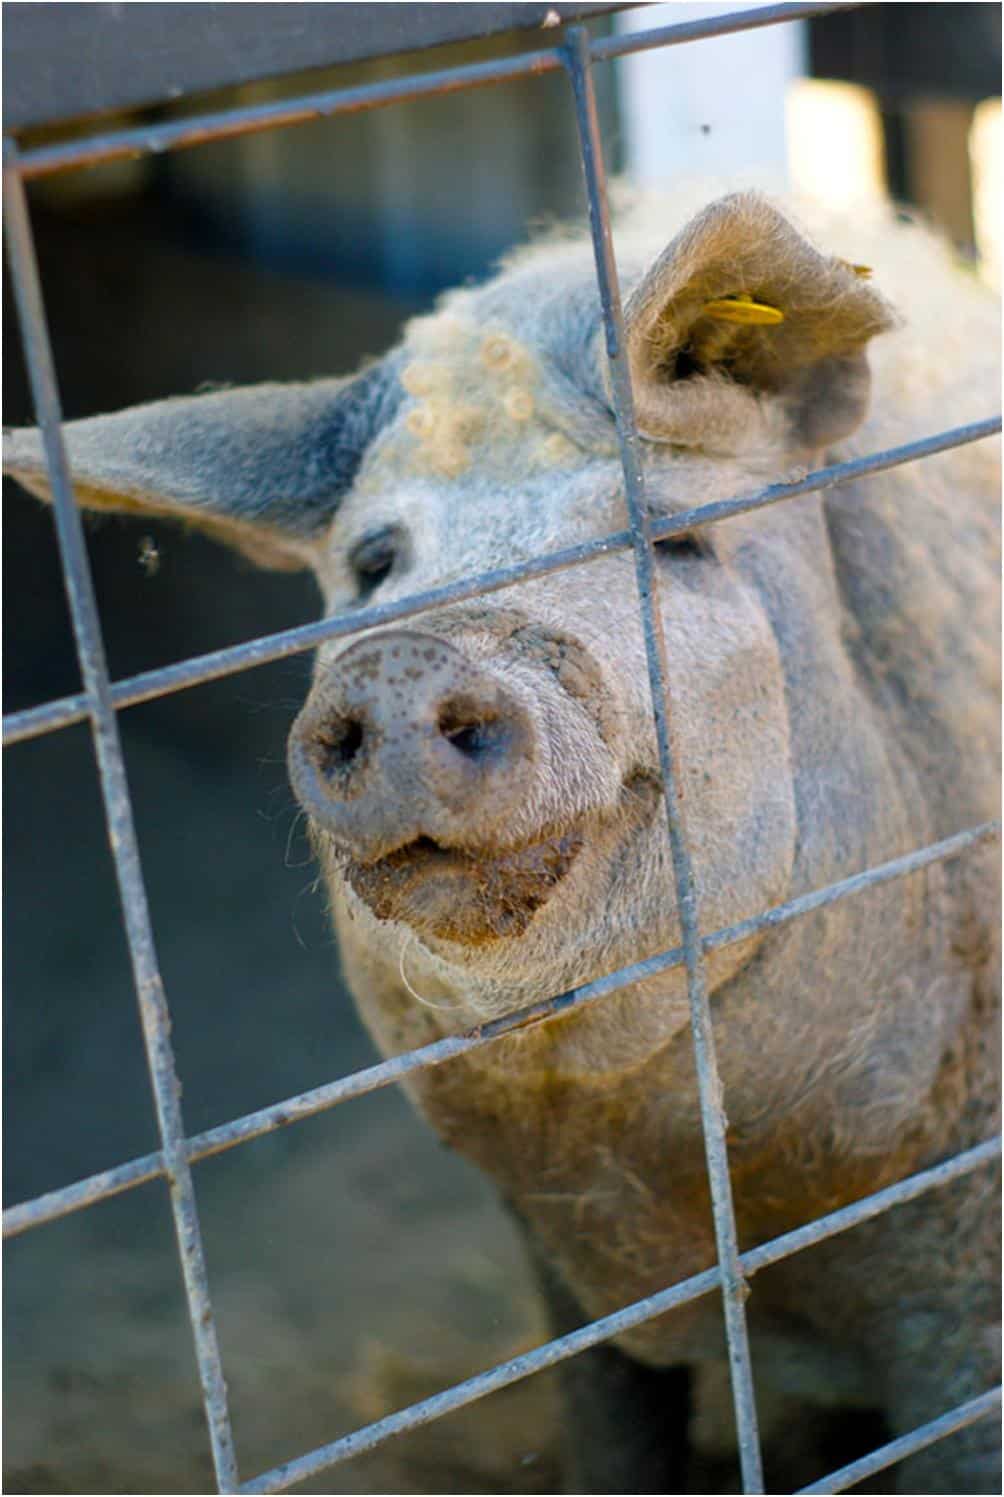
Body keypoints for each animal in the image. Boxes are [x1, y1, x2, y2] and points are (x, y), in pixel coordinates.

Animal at [3, 193, 999, 1491]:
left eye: (670, 542)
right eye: (374, 563)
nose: (408, 652)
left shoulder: (959, 1286)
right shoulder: (559, 1278)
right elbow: (610, 1437)